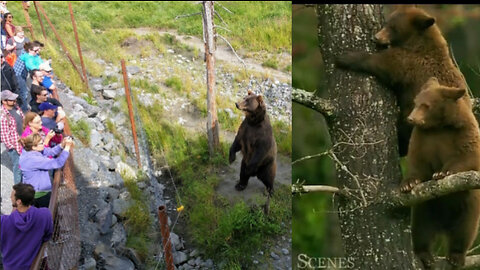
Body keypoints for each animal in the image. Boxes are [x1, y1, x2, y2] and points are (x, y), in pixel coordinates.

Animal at [336, 4, 466, 156]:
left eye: (394, 28)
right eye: (386, 23)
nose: (376, 37)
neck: (418, 45)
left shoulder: (408, 63)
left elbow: (382, 64)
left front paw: (346, 58)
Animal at [398, 77, 480, 268]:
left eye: (426, 105)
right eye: (415, 102)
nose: (410, 118)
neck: (440, 126)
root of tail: (444, 225)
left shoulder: (465, 130)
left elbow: (470, 155)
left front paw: (442, 173)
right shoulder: (422, 137)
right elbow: (417, 161)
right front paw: (408, 183)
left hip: (468, 208)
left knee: (464, 231)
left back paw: (456, 256)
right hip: (426, 208)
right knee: (421, 229)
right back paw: (425, 255)